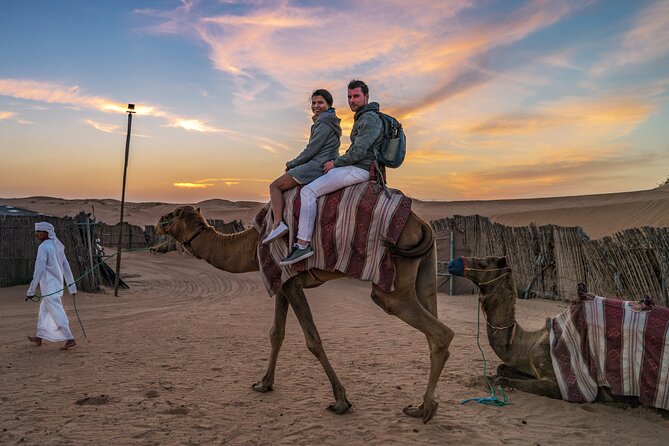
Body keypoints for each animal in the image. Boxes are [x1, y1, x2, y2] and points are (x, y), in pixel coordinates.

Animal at [155, 205, 454, 422]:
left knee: (439, 331)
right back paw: (423, 406)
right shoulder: (281, 280)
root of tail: (422, 224)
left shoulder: (290, 282)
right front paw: (264, 383)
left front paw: (341, 401)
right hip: (424, 270)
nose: (158, 222)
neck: (250, 244)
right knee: (434, 327)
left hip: (393, 282)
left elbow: (313, 340)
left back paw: (425, 408)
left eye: (171, 215)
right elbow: (276, 333)